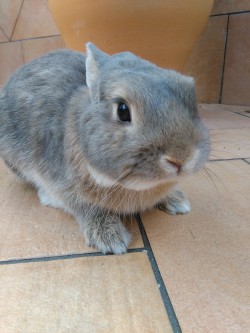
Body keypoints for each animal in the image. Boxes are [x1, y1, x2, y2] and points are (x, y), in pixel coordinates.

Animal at [0, 42, 210, 253]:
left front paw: (178, 201)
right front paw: (111, 239)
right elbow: (84, 207)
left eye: (192, 99)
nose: (180, 158)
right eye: (123, 111)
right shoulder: (65, 186)